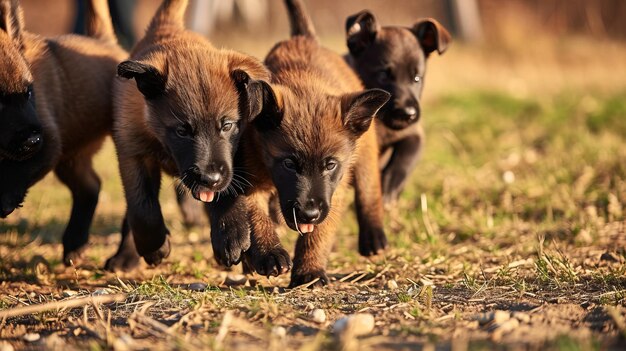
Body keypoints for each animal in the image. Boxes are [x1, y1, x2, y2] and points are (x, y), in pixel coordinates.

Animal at [105, 0, 270, 272]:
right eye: (182, 131)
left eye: (227, 125)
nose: (210, 178)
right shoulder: (133, 154)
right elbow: (142, 208)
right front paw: (154, 247)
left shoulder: (235, 155)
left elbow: (228, 192)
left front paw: (231, 233)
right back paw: (126, 255)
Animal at [213, 0, 390, 288]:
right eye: (288, 164)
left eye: (330, 165)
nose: (308, 214)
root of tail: (304, 37)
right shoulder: (251, 180)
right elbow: (256, 217)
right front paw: (269, 253)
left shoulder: (333, 193)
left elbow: (319, 233)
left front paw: (309, 270)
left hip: (365, 155)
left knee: (369, 190)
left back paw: (373, 235)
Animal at [342, 11, 448, 208]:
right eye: (383, 75)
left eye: (416, 78)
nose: (408, 114)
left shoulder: (414, 134)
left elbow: (404, 160)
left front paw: (389, 190)